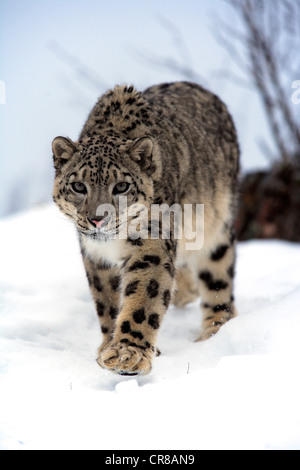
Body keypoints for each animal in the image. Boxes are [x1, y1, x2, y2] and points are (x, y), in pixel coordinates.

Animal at [51, 81, 239, 374]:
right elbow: (108, 301)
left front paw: (128, 354)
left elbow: (143, 297)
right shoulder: (95, 256)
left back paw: (212, 335)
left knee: (218, 283)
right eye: (79, 186)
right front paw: (109, 346)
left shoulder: (152, 243)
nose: (97, 219)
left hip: (217, 230)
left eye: (121, 186)